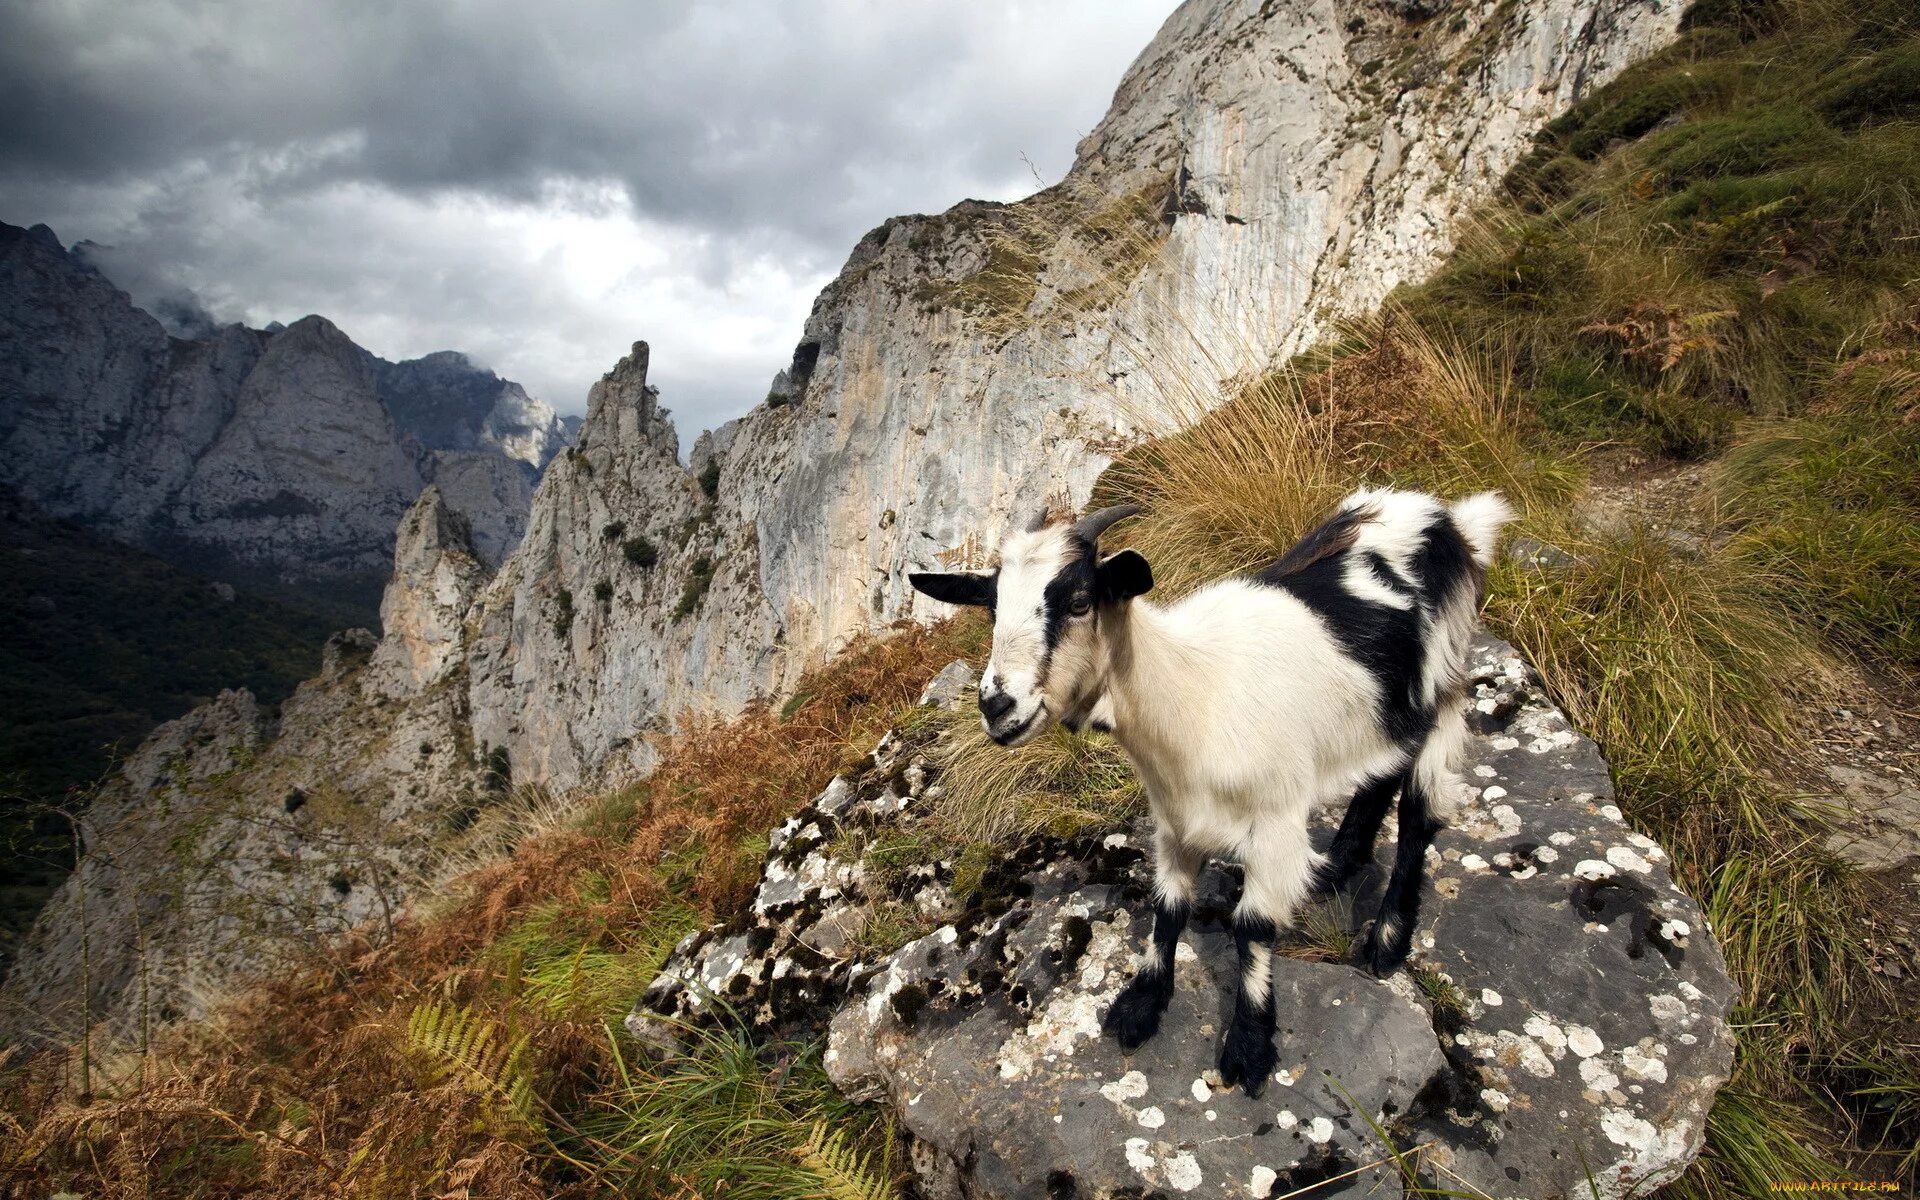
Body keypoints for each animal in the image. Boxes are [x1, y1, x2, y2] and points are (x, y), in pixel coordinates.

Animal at [910, 487, 1512, 1098]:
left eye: (1080, 601)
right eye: (991, 607)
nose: (996, 705)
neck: (1193, 693)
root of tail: (1445, 517)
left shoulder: (1275, 820)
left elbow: (1253, 927)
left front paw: (1249, 1045)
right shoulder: (1175, 820)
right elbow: (1168, 906)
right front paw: (1141, 1005)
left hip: (1443, 683)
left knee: (1419, 811)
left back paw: (1387, 940)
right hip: (1384, 710)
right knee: (1382, 774)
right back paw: (1335, 867)